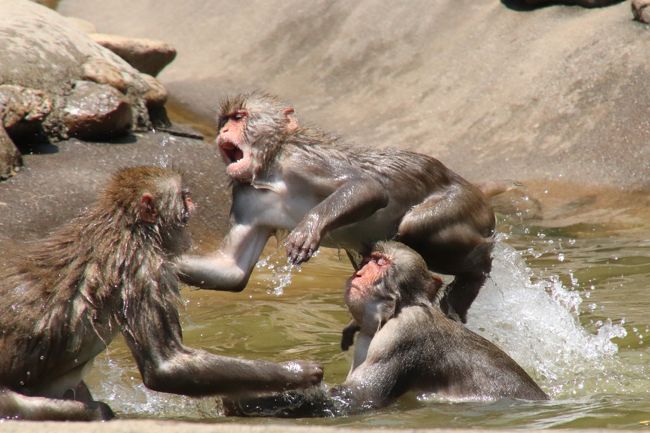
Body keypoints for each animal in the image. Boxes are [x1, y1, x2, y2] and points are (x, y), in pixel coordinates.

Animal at [0, 165, 322, 418]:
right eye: (184, 196)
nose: (194, 205)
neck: (128, 225)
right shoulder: (144, 271)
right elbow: (165, 368)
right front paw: (299, 373)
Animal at [177, 92, 492, 320]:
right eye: (224, 121)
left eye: (239, 117)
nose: (224, 131)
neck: (270, 170)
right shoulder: (247, 196)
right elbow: (232, 270)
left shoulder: (301, 159)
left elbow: (367, 186)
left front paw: (308, 228)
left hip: (462, 204)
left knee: (414, 227)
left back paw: (478, 268)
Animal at [223, 241, 548, 416]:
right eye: (369, 260)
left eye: (379, 263)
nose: (359, 273)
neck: (392, 313)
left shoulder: (403, 335)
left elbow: (356, 398)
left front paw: (255, 399)